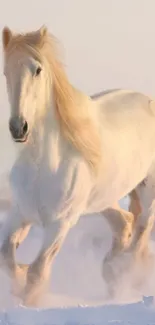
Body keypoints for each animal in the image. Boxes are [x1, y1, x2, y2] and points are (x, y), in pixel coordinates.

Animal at [1, 24, 155, 304]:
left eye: (37, 70)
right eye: (6, 71)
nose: (19, 127)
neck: (42, 165)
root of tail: (148, 100)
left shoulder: (60, 224)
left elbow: (38, 271)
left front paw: (29, 300)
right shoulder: (20, 213)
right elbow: (7, 256)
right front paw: (18, 281)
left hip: (147, 189)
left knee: (141, 228)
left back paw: (122, 275)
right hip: (103, 199)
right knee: (125, 222)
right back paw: (111, 271)